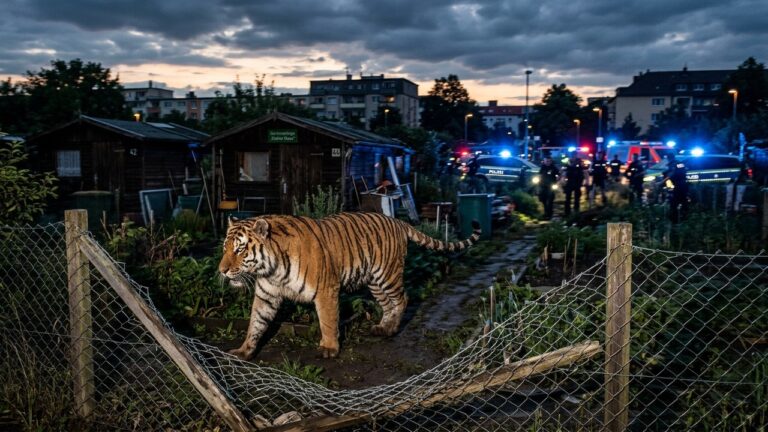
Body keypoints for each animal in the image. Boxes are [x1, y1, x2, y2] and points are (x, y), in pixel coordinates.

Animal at [219, 212, 481, 360]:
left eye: (240, 249)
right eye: (225, 248)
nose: (222, 270)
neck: (272, 270)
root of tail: (397, 220)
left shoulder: (325, 290)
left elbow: (327, 321)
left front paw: (329, 348)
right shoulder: (267, 295)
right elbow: (255, 323)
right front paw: (244, 351)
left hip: (388, 275)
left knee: (402, 299)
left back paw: (393, 329)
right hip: (374, 282)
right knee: (388, 304)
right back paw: (382, 327)